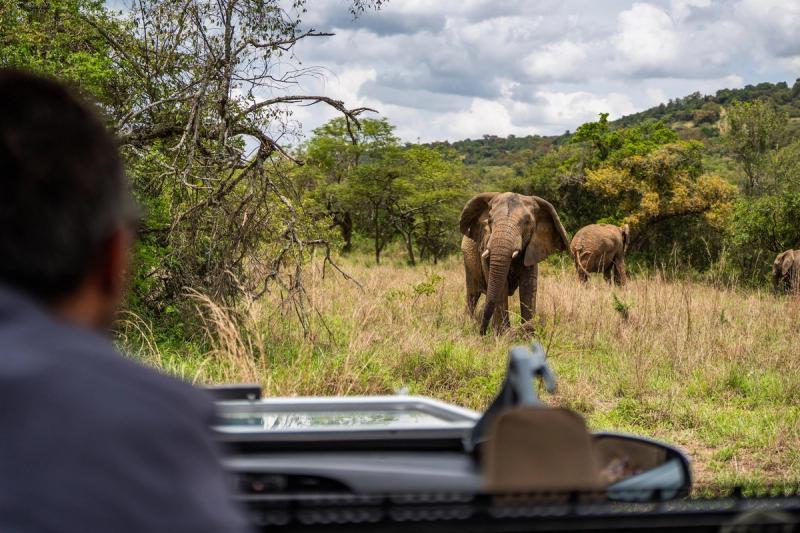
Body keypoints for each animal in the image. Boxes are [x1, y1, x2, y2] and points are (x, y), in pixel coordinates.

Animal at [460, 192, 571, 335]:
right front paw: (501, 334)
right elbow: (501, 286)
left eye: (527, 222)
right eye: (489, 220)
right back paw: (468, 323)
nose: (482, 333)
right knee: (473, 294)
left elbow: (528, 286)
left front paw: (528, 334)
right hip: (468, 257)